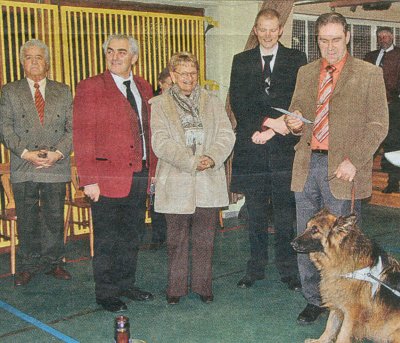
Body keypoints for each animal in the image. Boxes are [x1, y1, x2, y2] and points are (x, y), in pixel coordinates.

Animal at [290, 210, 400, 343]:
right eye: (307, 227)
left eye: (315, 230)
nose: (292, 243)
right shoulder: (337, 302)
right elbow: (330, 327)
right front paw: (320, 341)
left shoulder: (351, 312)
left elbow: (342, 334)